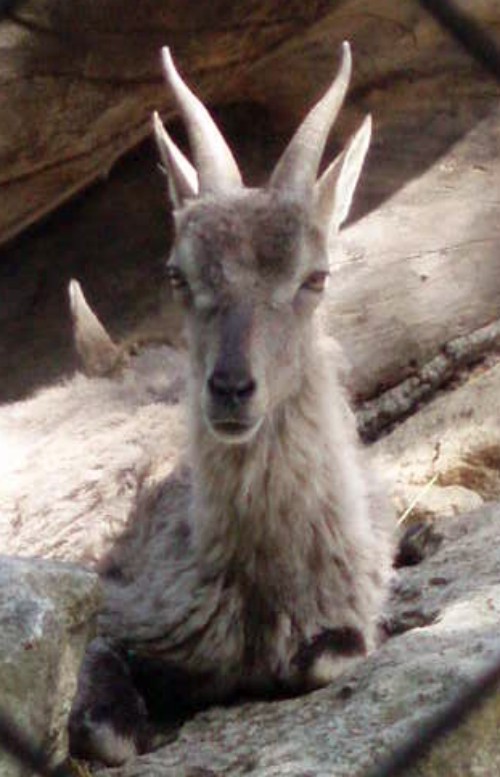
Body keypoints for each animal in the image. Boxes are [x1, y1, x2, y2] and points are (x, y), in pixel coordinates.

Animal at [1, 42, 394, 765]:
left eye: (315, 276)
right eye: (177, 274)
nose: (232, 388)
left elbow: (331, 657)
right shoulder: (104, 597)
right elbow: (109, 728)